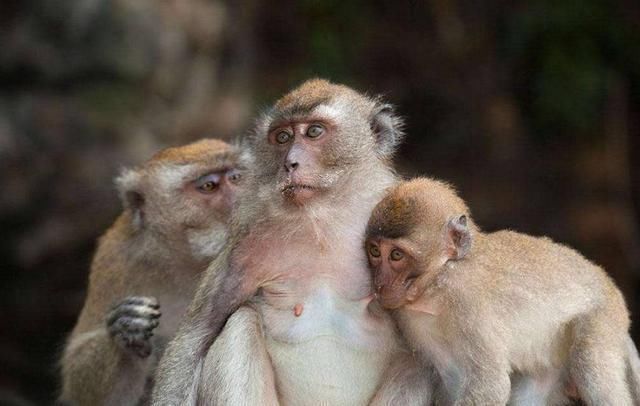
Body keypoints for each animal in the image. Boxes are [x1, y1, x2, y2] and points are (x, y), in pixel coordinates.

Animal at [59, 138, 240, 404]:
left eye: (236, 177)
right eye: (209, 186)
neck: (189, 264)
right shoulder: (114, 258)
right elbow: (79, 383)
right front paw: (126, 327)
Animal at [151, 79, 432, 406]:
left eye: (314, 131)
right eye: (282, 137)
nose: (290, 163)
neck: (323, 221)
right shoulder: (245, 243)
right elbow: (196, 335)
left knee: (416, 364)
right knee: (241, 323)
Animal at [364, 178, 640, 406]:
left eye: (396, 255)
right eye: (375, 251)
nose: (380, 283)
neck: (435, 286)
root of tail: (607, 281)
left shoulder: (466, 299)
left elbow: (490, 385)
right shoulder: (412, 320)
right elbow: (452, 379)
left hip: (604, 314)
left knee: (590, 364)